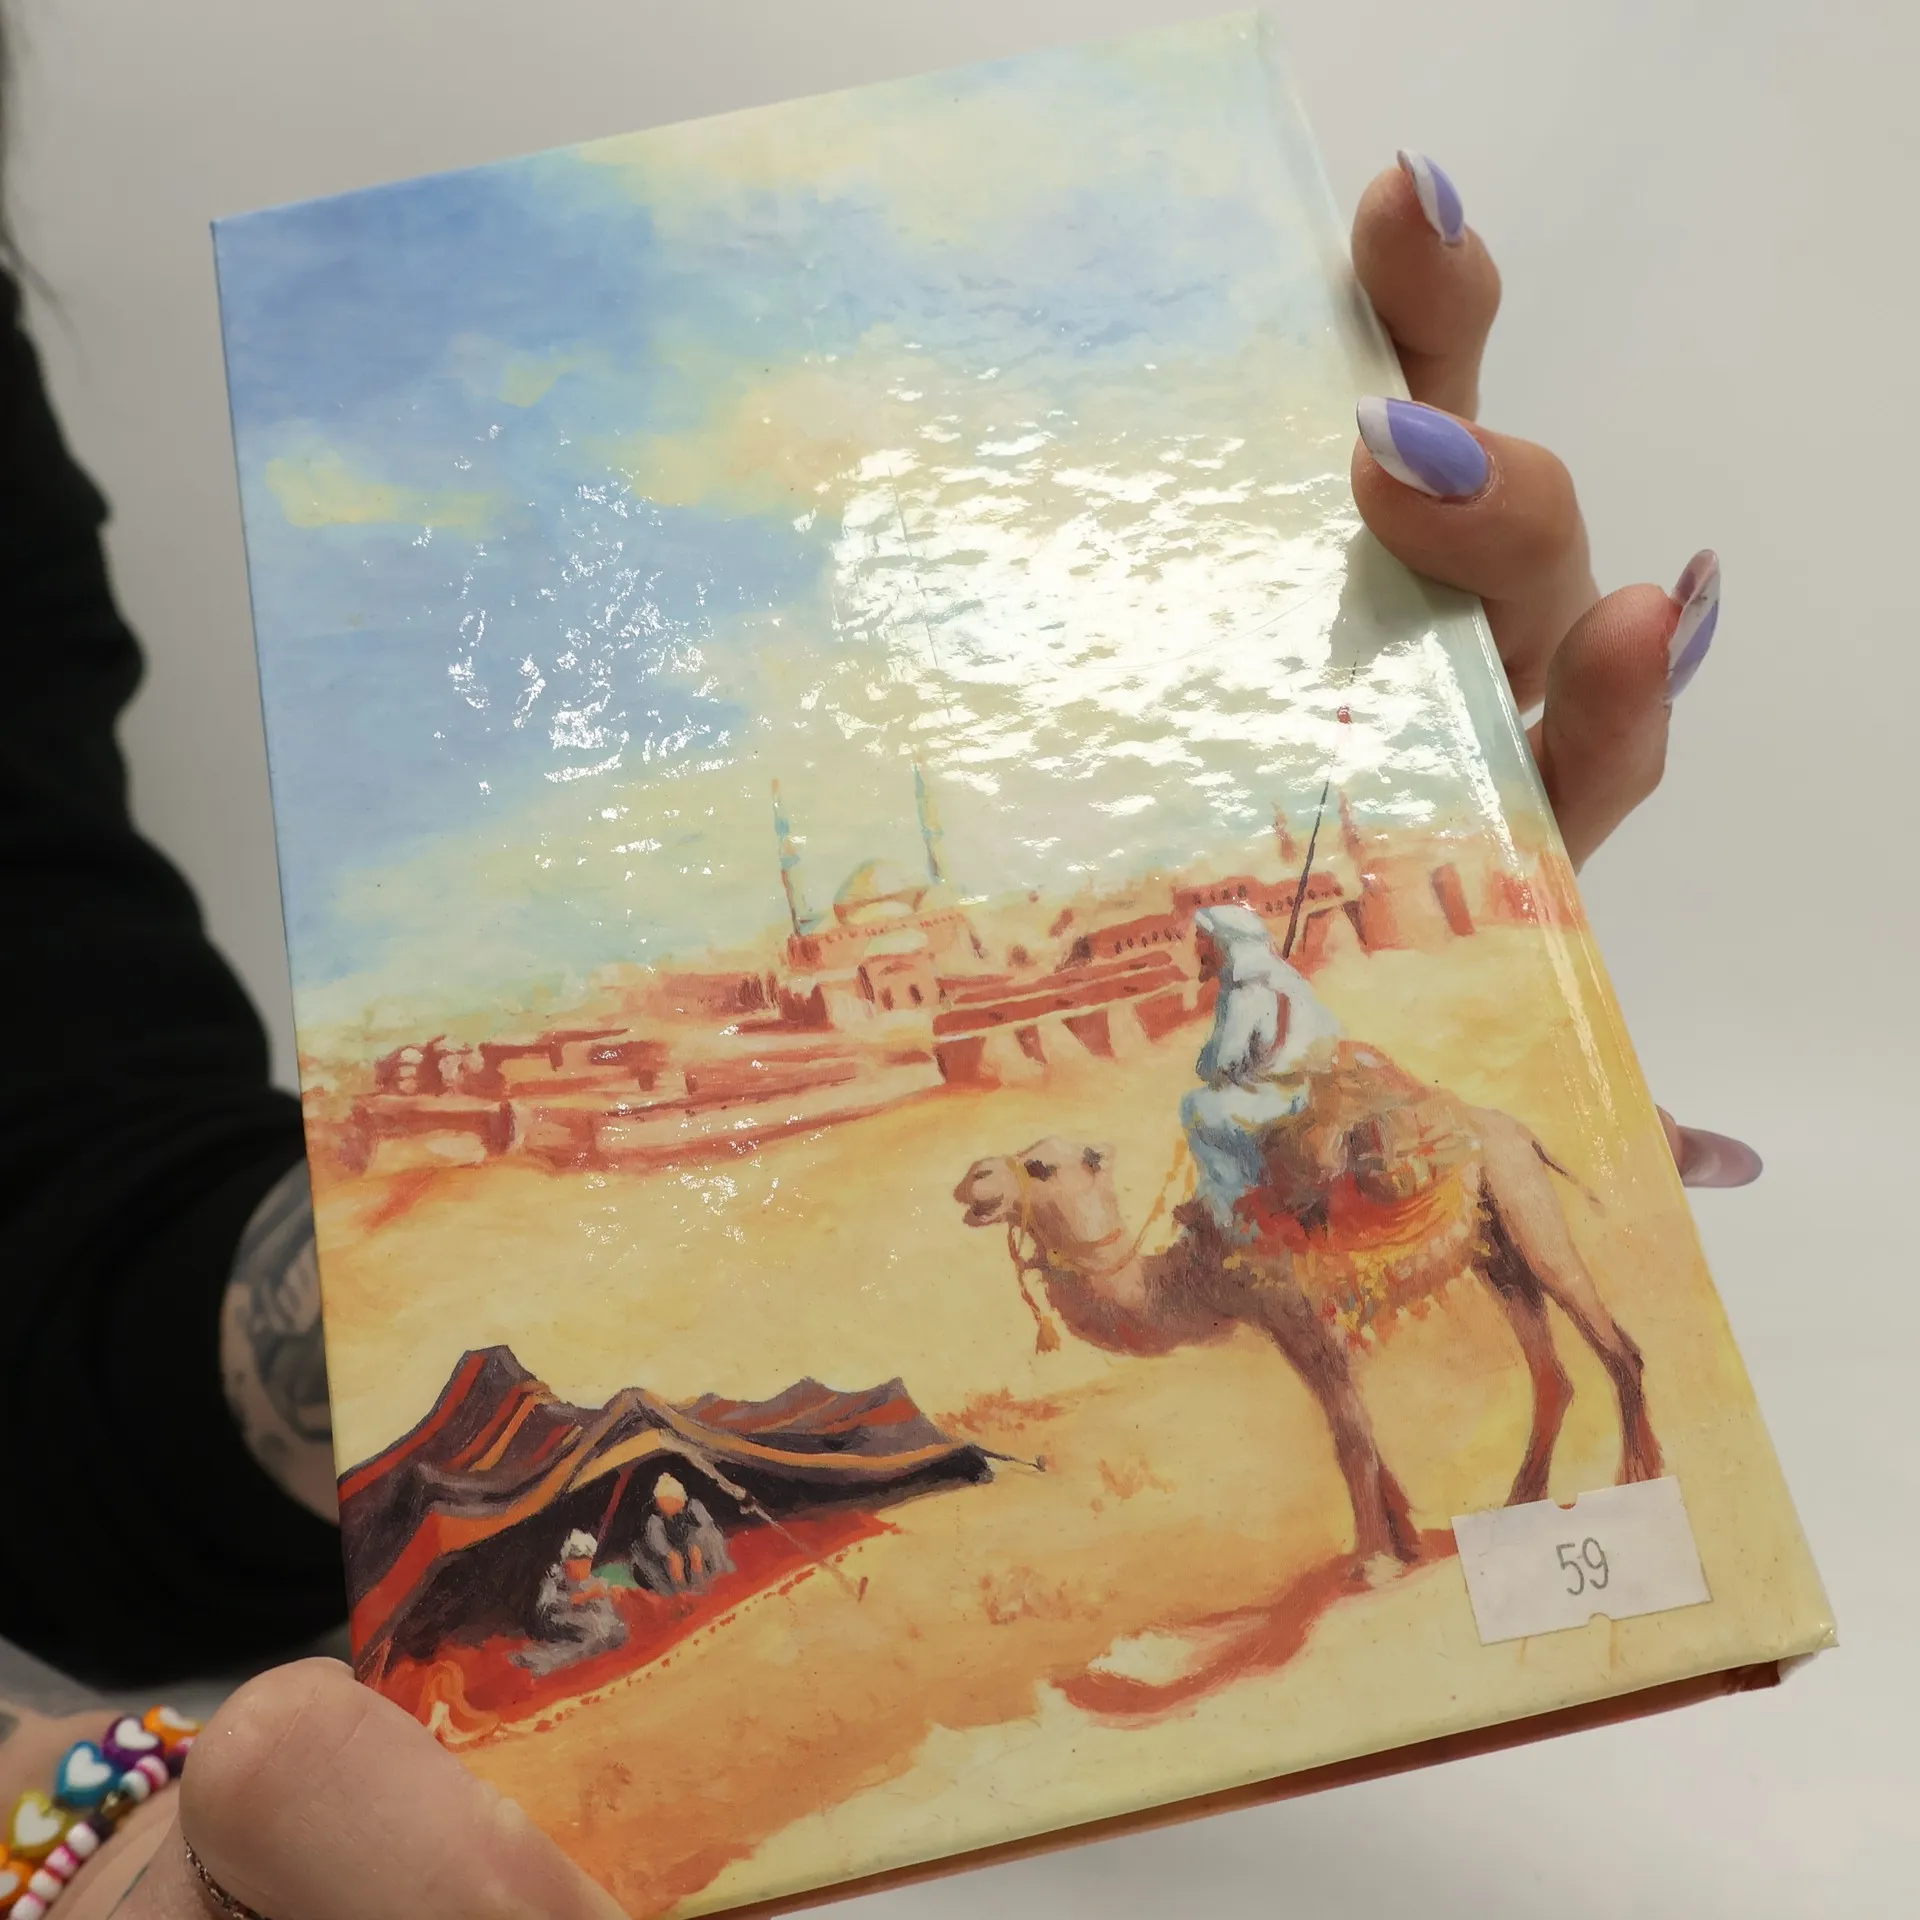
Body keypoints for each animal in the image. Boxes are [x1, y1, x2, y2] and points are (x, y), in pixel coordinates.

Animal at [952, 1108, 1661, 1571]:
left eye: (1040, 1166)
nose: (972, 1179)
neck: (1199, 1270)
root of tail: (1517, 1130)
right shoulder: (1286, 1327)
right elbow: (1353, 1431)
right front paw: (1405, 1542)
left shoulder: (1305, 1316)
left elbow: (1349, 1437)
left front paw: (1370, 1561)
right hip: (1495, 1247)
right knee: (1550, 1371)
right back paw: (1520, 1503)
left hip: (1522, 1204)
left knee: (1614, 1342)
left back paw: (1638, 1475)